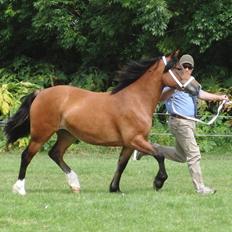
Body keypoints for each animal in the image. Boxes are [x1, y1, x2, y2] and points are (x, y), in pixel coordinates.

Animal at [4, 50, 201, 194]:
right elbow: (159, 154)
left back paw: (74, 184)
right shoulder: (135, 140)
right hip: (41, 134)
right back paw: (20, 188)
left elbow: (121, 164)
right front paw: (159, 182)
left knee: (55, 154)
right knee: (27, 156)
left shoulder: (129, 144)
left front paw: (114, 188)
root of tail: (41, 93)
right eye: (179, 69)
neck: (135, 100)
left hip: (67, 134)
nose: (197, 87)